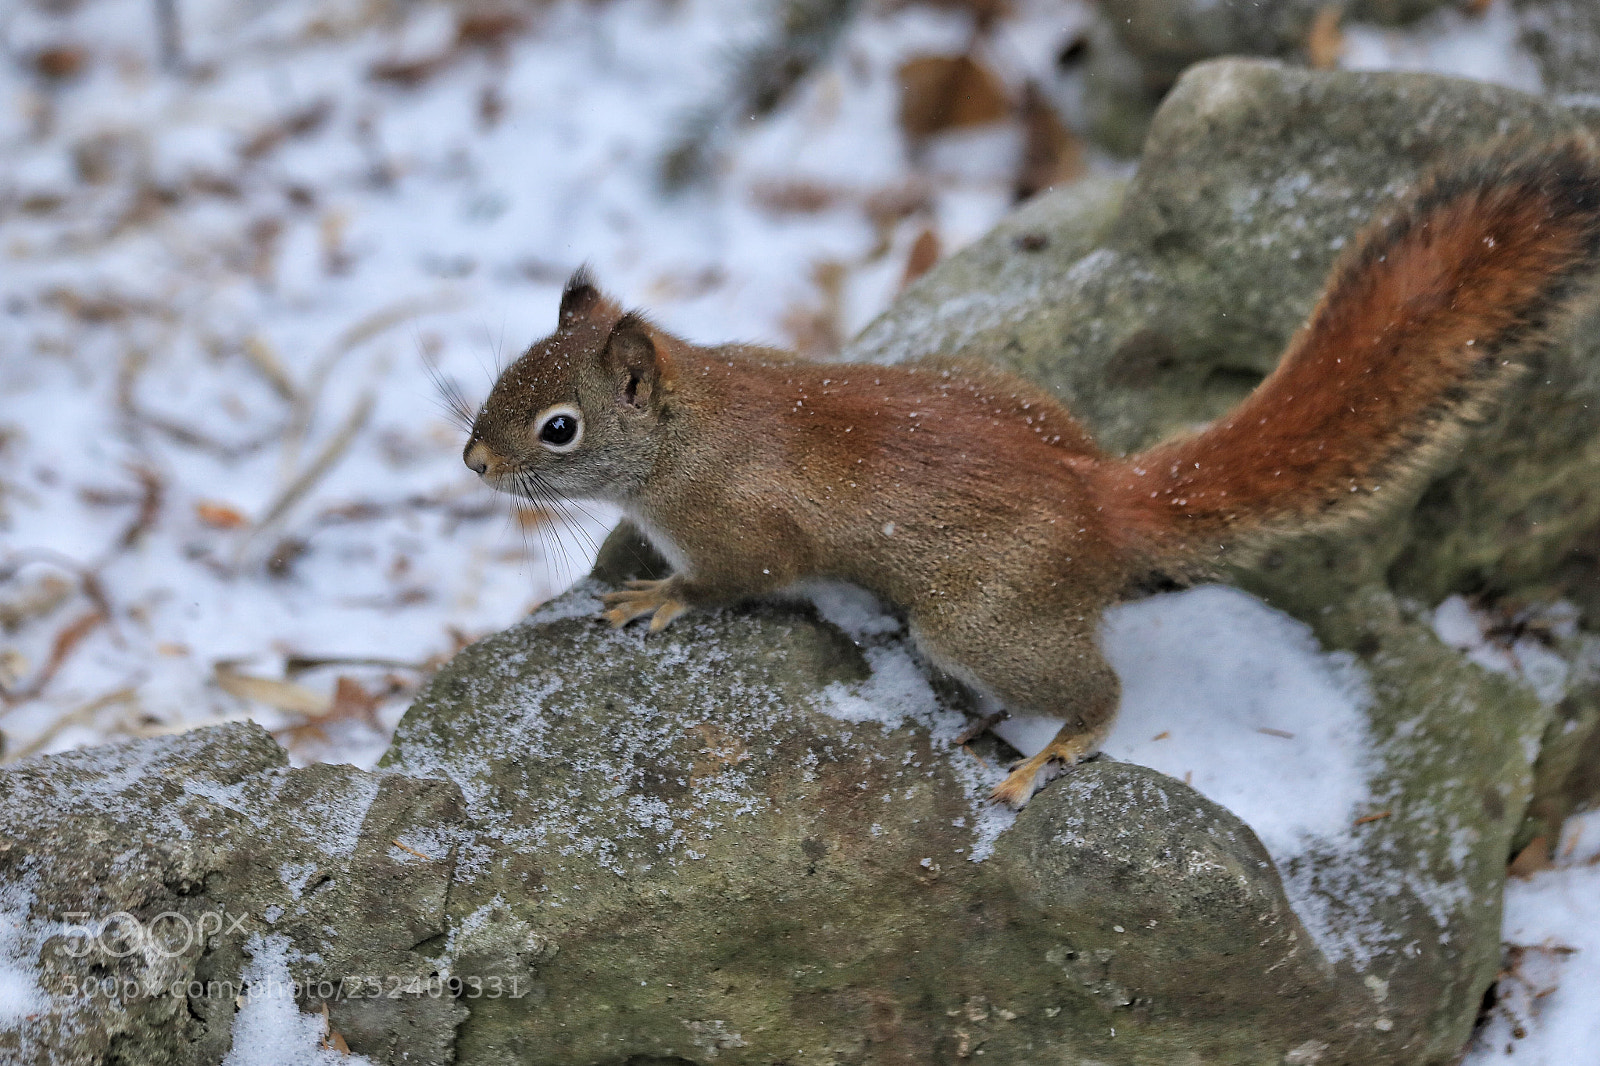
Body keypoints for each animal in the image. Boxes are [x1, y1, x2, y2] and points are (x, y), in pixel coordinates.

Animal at [463, 138, 1600, 807]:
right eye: (506, 372)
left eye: (557, 428)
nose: (472, 458)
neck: (693, 423)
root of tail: (1104, 498)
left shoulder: (742, 526)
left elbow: (733, 580)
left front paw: (655, 593)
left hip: (982, 618)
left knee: (1095, 687)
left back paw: (1055, 751)